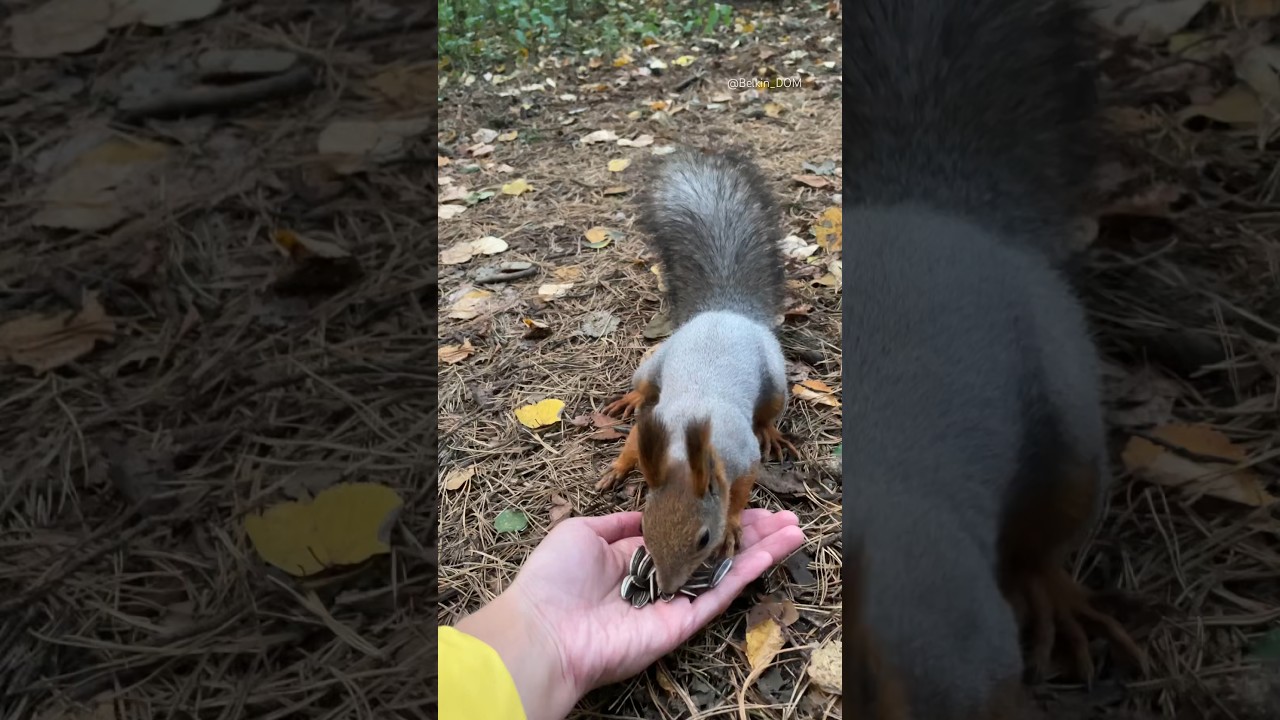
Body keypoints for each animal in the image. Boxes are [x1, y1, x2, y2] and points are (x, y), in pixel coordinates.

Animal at [595, 148, 798, 596]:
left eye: (703, 538)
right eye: (643, 525)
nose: (669, 589)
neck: (685, 449)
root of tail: (724, 311)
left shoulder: (743, 457)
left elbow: (739, 493)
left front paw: (734, 526)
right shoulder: (652, 427)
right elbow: (632, 444)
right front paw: (616, 469)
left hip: (776, 380)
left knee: (769, 411)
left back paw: (772, 431)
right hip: (655, 359)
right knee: (644, 386)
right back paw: (631, 397)